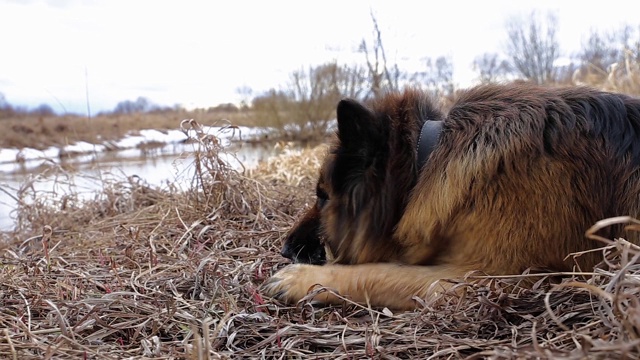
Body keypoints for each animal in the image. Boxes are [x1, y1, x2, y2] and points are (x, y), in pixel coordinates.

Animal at [262, 81, 640, 310]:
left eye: (322, 196)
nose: (284, 250)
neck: (425, 159)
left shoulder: (494, 278)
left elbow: (377, 273)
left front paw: (302, 278)